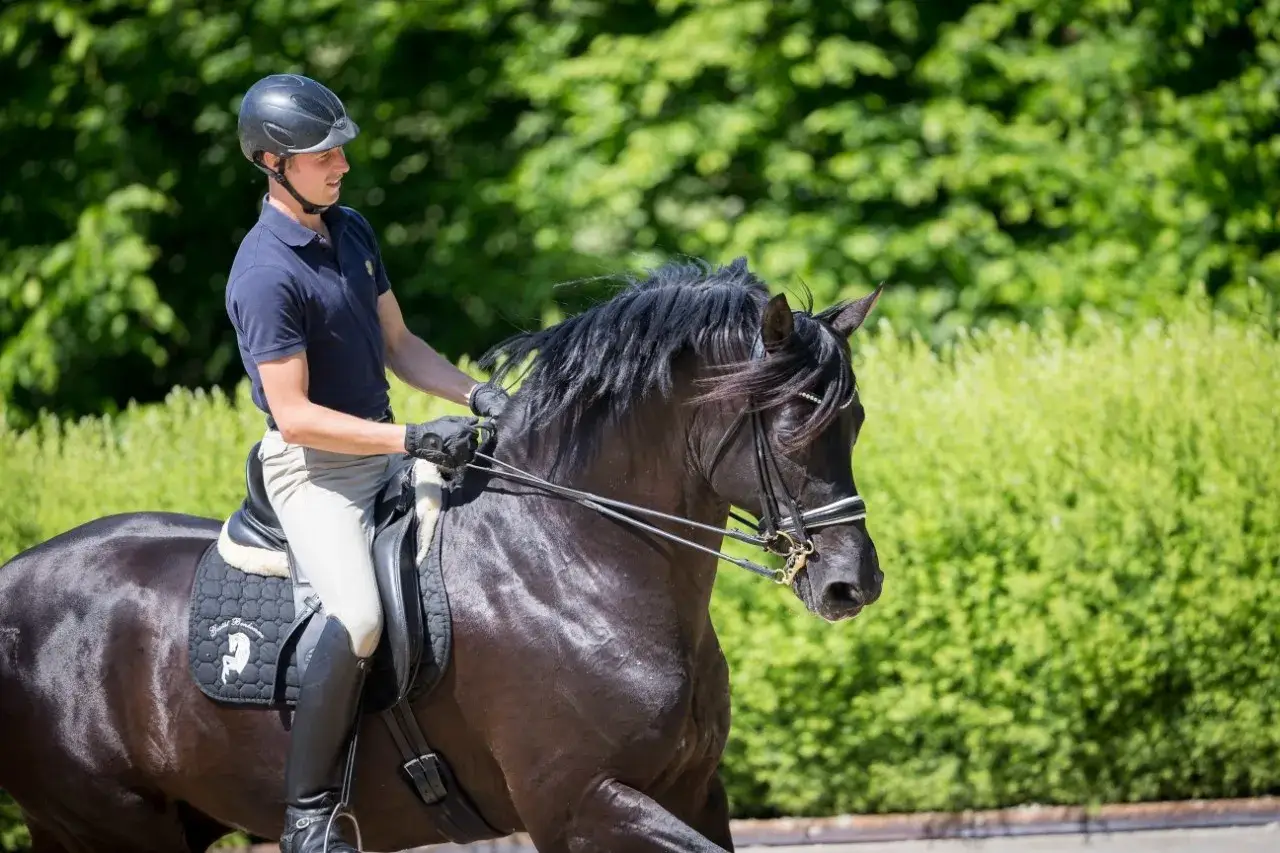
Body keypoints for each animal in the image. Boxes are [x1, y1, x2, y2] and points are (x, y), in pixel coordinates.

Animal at [0, 257, 883, 853]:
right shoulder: (581, 802)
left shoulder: (694, 787)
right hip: (112, 825)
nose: (854, 583)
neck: (577, 562)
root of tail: (16, 580)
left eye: (855, 421)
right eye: (793, 425)